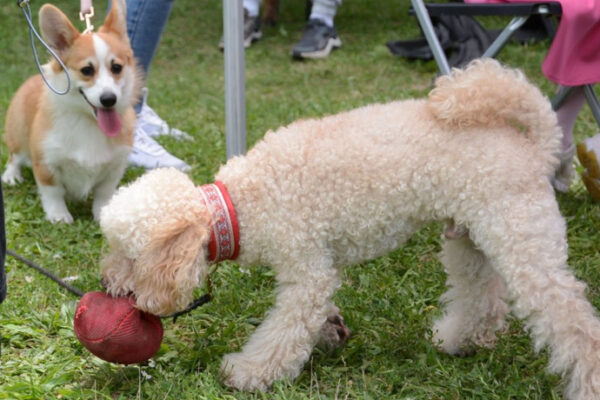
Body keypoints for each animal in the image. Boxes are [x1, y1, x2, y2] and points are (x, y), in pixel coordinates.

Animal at [3, 1, 141, 223]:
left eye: (117, 67)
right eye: (87, 70)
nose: (109, 99)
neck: (87, 121)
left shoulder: (115, 167)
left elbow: (104, 194)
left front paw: (103, 214)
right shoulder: (46, 162)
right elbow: (53, 192)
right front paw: (59, 216)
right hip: (18, 134)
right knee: (14, 157)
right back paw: (11, 176)